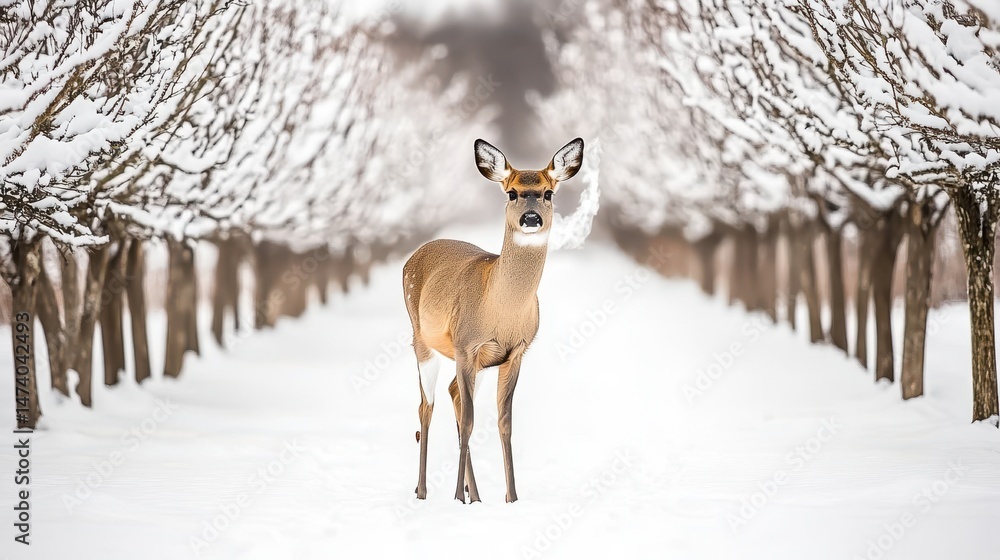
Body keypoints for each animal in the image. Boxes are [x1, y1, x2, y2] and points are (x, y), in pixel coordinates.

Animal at [402, 137, 584, 503]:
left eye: (548, 193)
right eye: (512, 193)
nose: (531, 218)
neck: (500, 310)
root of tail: (412, 257)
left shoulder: (515, 352)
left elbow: (504, 421)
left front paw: (511, 497)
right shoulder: (465, 345)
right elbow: (470, 421)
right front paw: (455, 498)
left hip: (476, 362)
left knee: (453, 394)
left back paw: (475, 495)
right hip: (421, 338)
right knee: (426, 406)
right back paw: (423, 491)